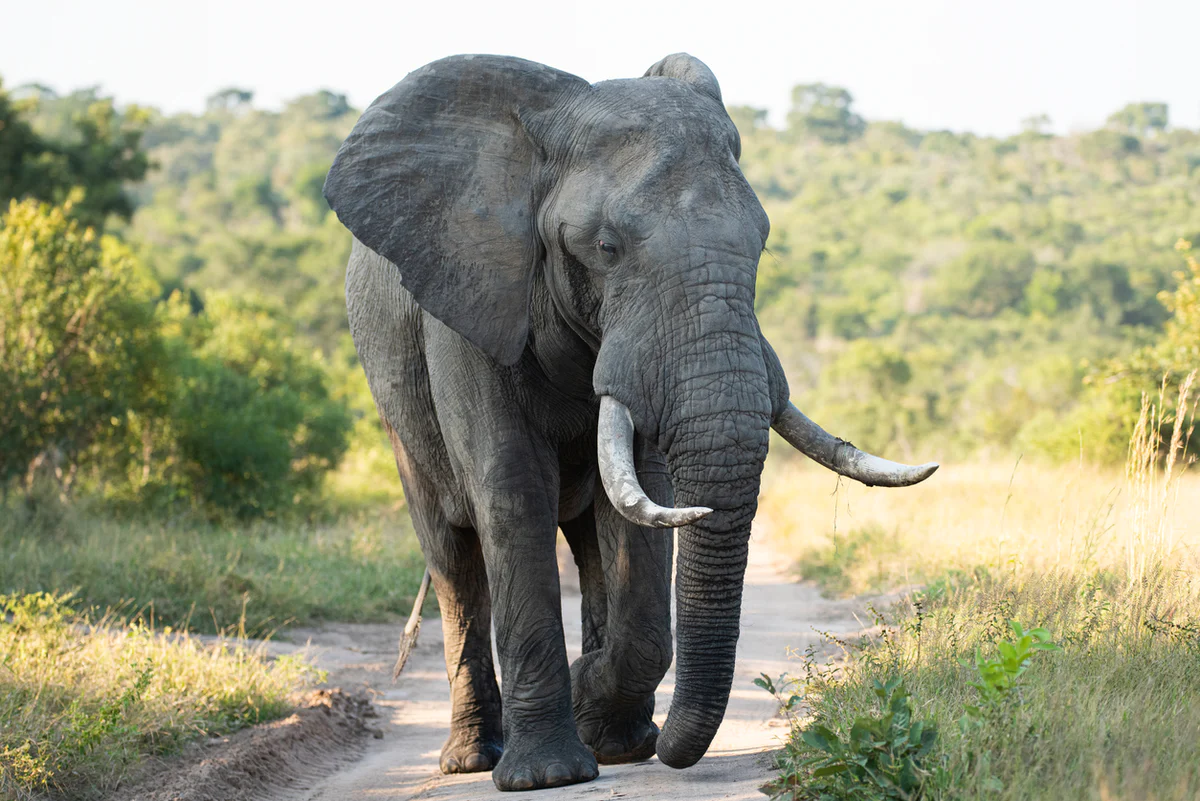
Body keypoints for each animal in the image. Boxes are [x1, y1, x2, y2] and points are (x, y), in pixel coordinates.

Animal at [326, 53, 936, 791]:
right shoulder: (468, 298)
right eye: (605, 245)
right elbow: (512, 489)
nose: (672, 748)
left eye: (762, 241)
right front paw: (549, 776)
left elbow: (646, 501)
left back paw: (617, 739)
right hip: (395, 411)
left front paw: (596, 706)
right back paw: (474, 758)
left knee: (594, 538)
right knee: (453, 558)